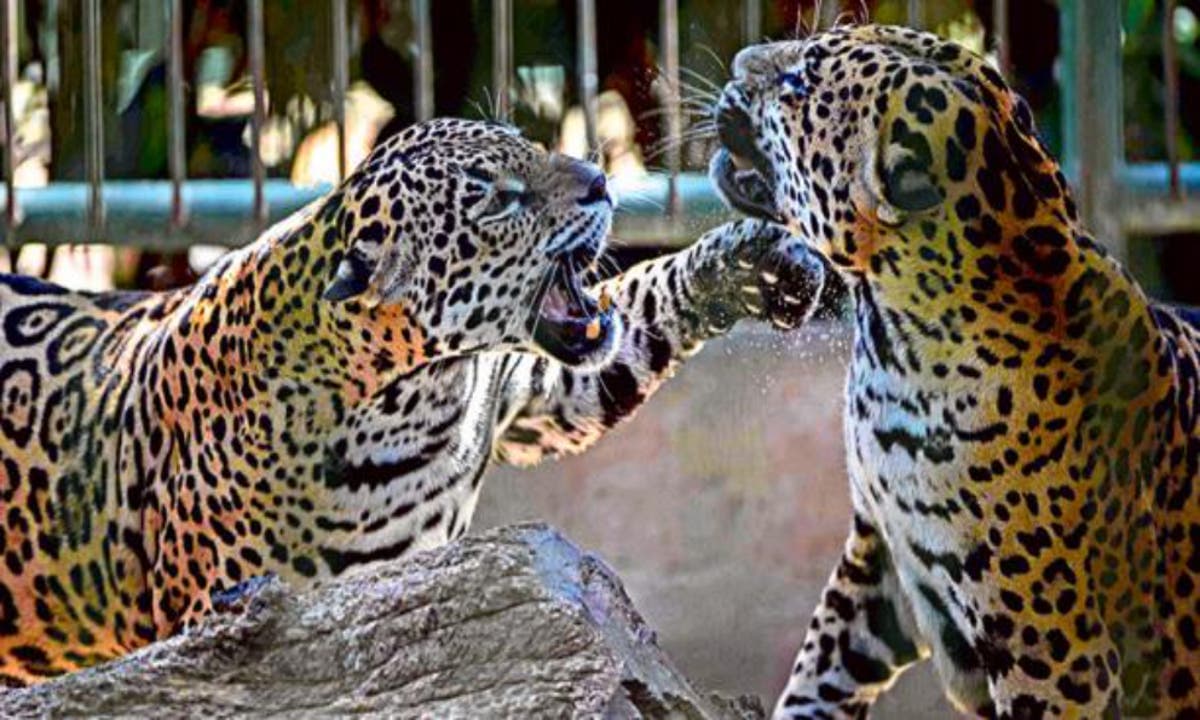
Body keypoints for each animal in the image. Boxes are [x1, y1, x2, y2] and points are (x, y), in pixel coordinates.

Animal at [0, 117, 826, 685]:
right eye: (498, 199)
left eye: (533, 147)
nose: (600, 179)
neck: (418, 392)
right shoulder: (222, 624)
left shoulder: (525, 394)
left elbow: (639, 313)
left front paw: (752, 260)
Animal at [710, 23, 1200, 720]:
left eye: (799, 83)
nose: (737, 63)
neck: (893, 342)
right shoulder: (881, 560)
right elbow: (819, 671)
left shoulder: (1058, 657)